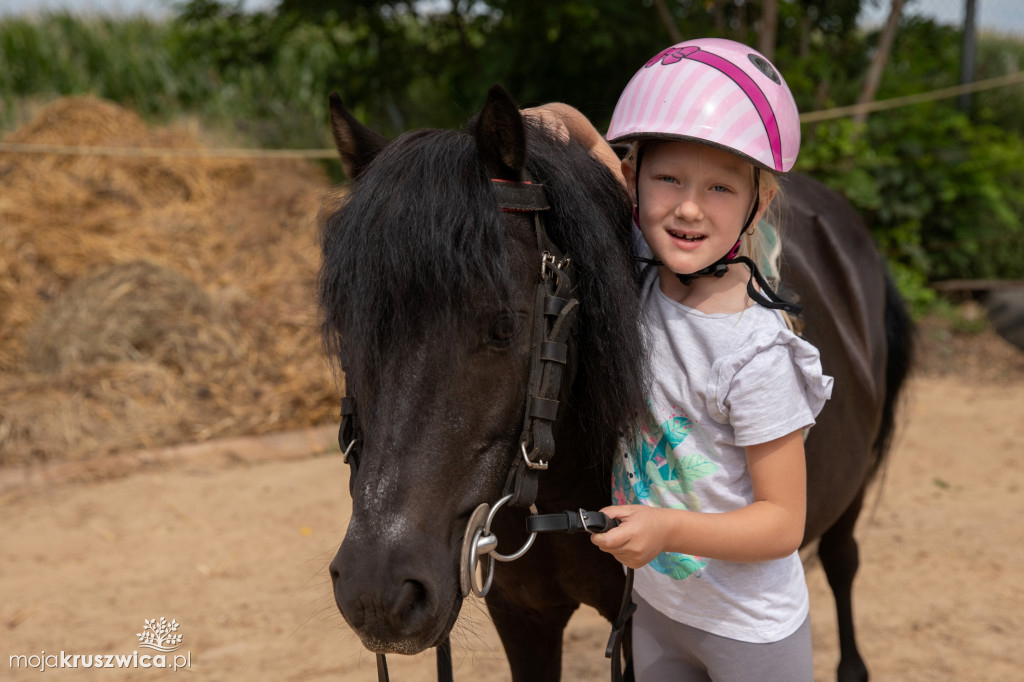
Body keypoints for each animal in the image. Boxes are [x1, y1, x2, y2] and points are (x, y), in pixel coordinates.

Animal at [319, 86, 913, 679]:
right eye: (346, 324)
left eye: (503, 326)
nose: (377, 591)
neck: (556, 493)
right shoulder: (523, 617)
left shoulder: (630, 627)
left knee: (842, 562)